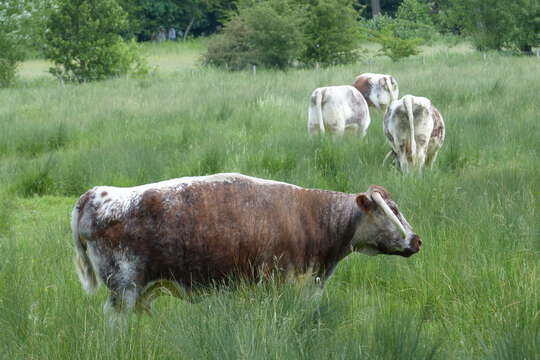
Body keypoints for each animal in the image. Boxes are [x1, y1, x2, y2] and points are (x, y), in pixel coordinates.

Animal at [71, 173, 424, 322]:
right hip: (124, 290)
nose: (416, 240)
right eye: (392, 209)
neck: (311, 217)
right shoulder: (284, 285)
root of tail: (97, 193)